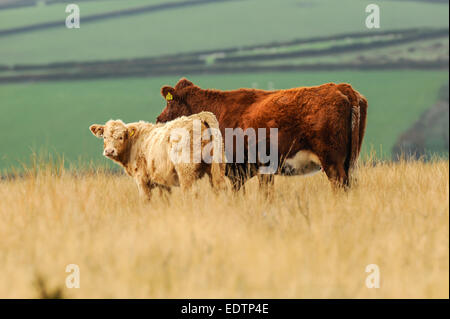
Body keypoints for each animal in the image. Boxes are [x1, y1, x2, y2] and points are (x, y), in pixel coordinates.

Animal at [156, 79, 368, 191]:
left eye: (169, 102)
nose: (158, 119)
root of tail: (342, 87)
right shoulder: (262, 170)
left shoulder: (237, 170)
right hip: (349, 161)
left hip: (332, 161)